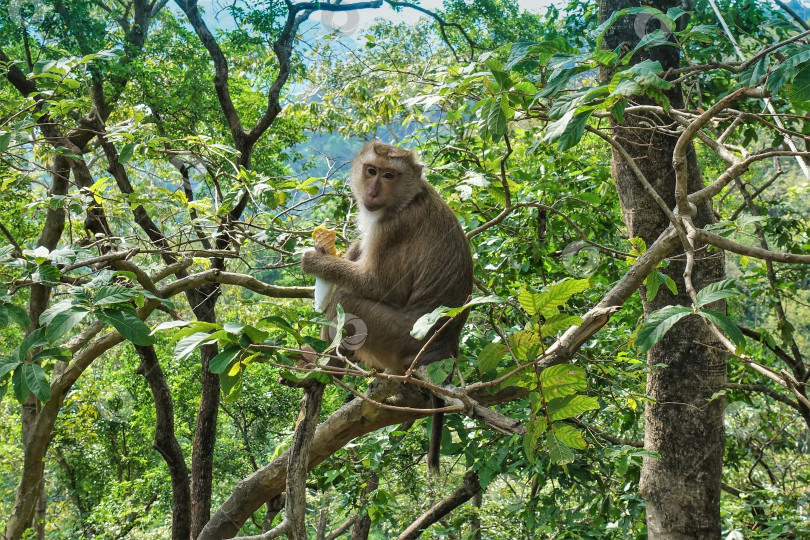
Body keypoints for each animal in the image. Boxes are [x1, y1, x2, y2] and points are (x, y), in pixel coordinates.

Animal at [300, 140, 470, 472]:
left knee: (348, 300)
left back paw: (331, 370)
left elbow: (377, 285)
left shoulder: (395, 228)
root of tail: (444, 348)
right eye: (371, 170)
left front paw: (316, 262)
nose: (373, 190)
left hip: (398, 340)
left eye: (389, 175)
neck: (408, 198)